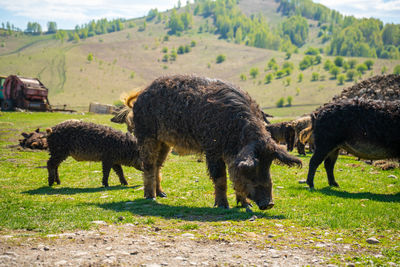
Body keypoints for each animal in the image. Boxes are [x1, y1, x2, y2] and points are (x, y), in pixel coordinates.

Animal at [131, 74, 300, 210]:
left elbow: (234, 176)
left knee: (158, 165)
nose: (269, 204)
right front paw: (223, 206)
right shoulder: (212, 149)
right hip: (146, 135)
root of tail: (141, 94)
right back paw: (150, 197)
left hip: (165, 142)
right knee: (148, 165)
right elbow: (221, 178)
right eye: (253, 167)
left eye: (269, 164)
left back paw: (162, 194)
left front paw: (246, 205)